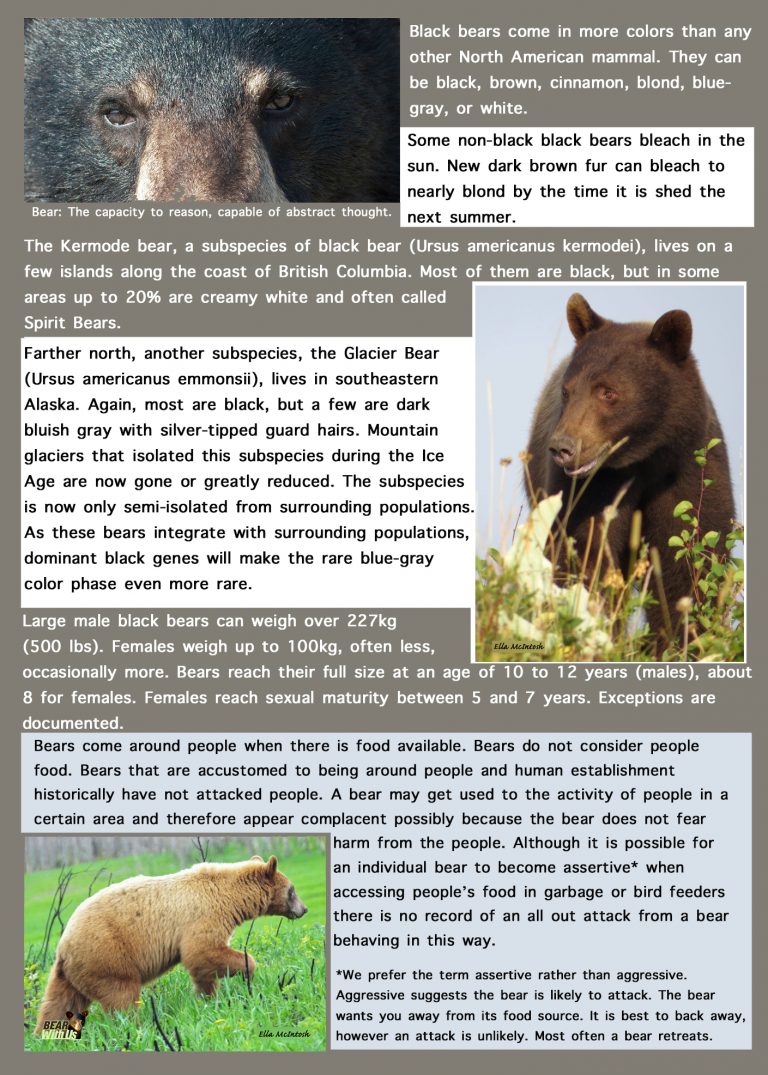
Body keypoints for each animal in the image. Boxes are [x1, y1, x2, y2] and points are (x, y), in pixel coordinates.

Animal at [35, 855, 307, 1032]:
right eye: (292, 890)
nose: (303, 909)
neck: (229, 896)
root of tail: (63, 946)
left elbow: (202, 968)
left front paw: (207, 998)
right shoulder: (204, 915)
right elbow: (203, 951)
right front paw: (246, 970)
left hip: (71, 974)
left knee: (58, 1003)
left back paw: (46, 1034)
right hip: (107, 956)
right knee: (121, 997)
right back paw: (136, 1028)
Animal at [526, 293, 735, 645]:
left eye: (608, 391)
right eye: (567, 391)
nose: (562, 448)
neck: (646, 459)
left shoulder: (689, 473)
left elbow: (690, 564)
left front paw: (681, 641)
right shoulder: (595, 489)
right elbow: (586, 555)